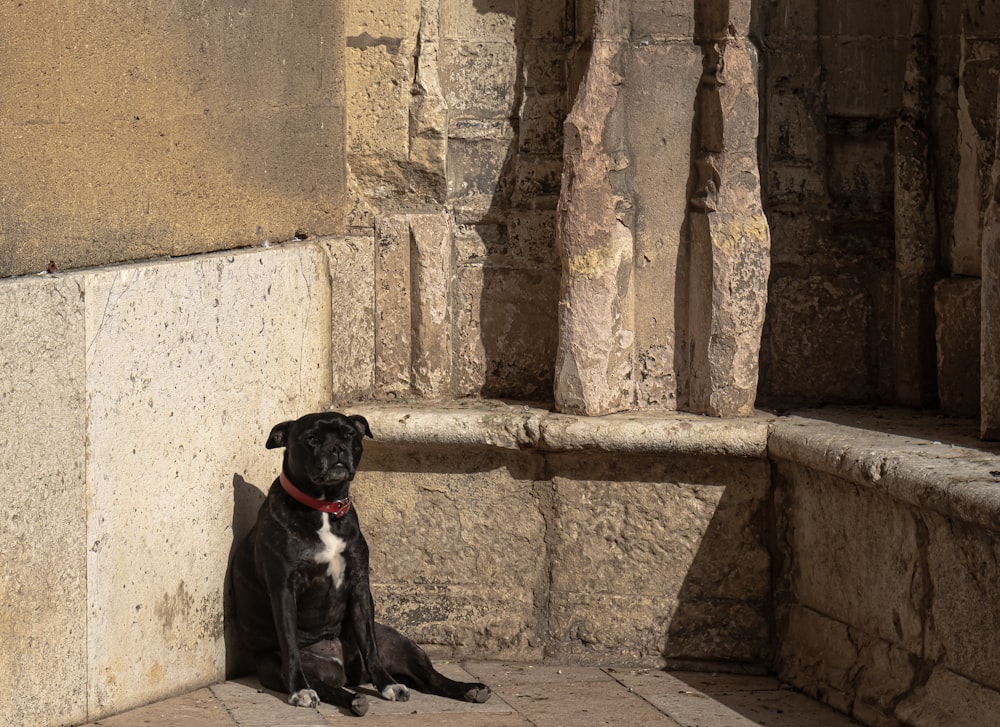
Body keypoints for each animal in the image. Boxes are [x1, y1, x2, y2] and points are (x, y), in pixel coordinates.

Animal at [230, 412, 488, 712]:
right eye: (311, 438)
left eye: (349, 434)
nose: (337, 448)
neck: (324, 507)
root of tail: (346, 672)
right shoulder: (283, 588)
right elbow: (291, 644)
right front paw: (299, 690)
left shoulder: (359, 584)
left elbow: (369, 644)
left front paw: (387, 684)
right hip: (276, 665)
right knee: (322, 685)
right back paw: (349, 698)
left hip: (400, 643)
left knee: (430, 678)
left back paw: (467, 688)